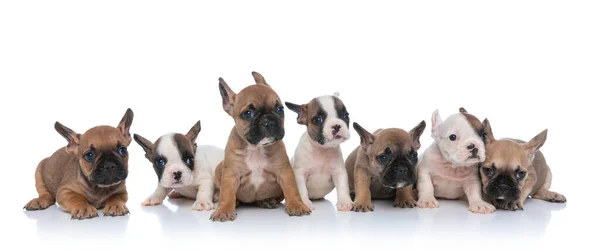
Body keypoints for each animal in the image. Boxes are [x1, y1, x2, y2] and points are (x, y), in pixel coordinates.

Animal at [210, 71, 312, 222]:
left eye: (280, 109)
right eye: (247, 113)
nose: (269, 121)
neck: (256, 149)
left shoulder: (284, 172)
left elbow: (291, 189)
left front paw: (296, 205)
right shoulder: (230, 175)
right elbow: (227, 194)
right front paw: (224, 209)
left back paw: (267, 201)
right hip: (219, 168)